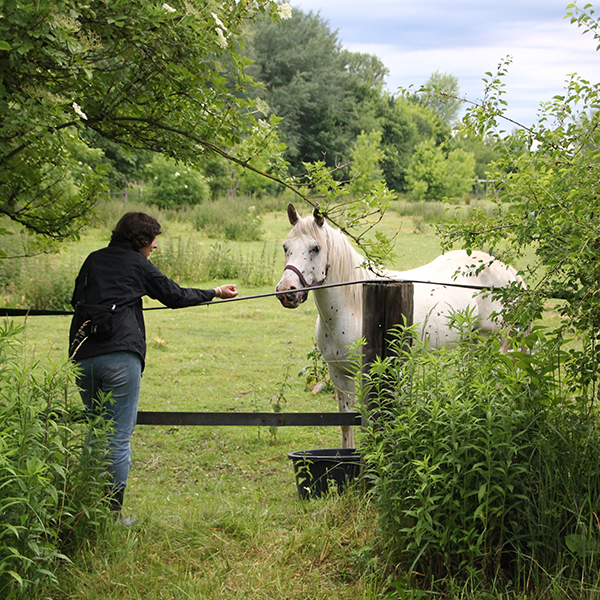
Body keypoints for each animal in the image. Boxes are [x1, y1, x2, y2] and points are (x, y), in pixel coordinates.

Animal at [274, 204, 524, 448]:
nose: (287, 292)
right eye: (286, 247)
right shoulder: (339, 373)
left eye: (315, 248)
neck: (353, 306)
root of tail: (509, 272)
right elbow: (346, 423)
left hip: (495, 345)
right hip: (474, 344)